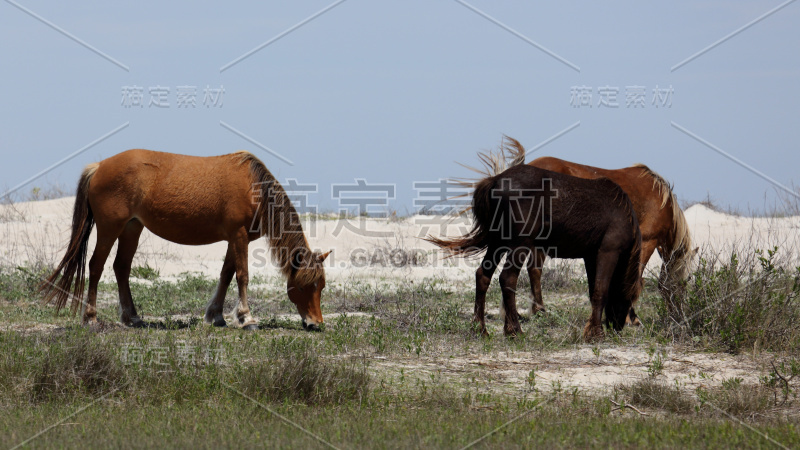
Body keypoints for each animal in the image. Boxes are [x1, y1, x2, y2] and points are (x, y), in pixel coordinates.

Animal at [39, 149, 328, 328]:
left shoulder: (234, 239)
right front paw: (246, 318)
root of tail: (99, 167)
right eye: (304, 287)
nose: (316, 323)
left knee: (121, 268)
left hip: (132, 228)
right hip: (110, 228)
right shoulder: (239, 235)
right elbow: (242, 275)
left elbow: (226, 274)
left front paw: (216, 316)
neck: (255, 189)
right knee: (96, 267)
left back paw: (133, 318)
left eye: (321, 286)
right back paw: (90, 318)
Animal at [428, 163, 640, 342]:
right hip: (518, 244)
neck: (624, 213)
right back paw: (514, 330)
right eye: (629, 300)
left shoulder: (590, 256)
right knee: (507, 278)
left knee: (483, 275)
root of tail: (495, 181)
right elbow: (600, 291)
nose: (617, 326)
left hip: (498, 243)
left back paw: (480, 329)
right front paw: (596, 333)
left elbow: (592, 290)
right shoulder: (608, 251)